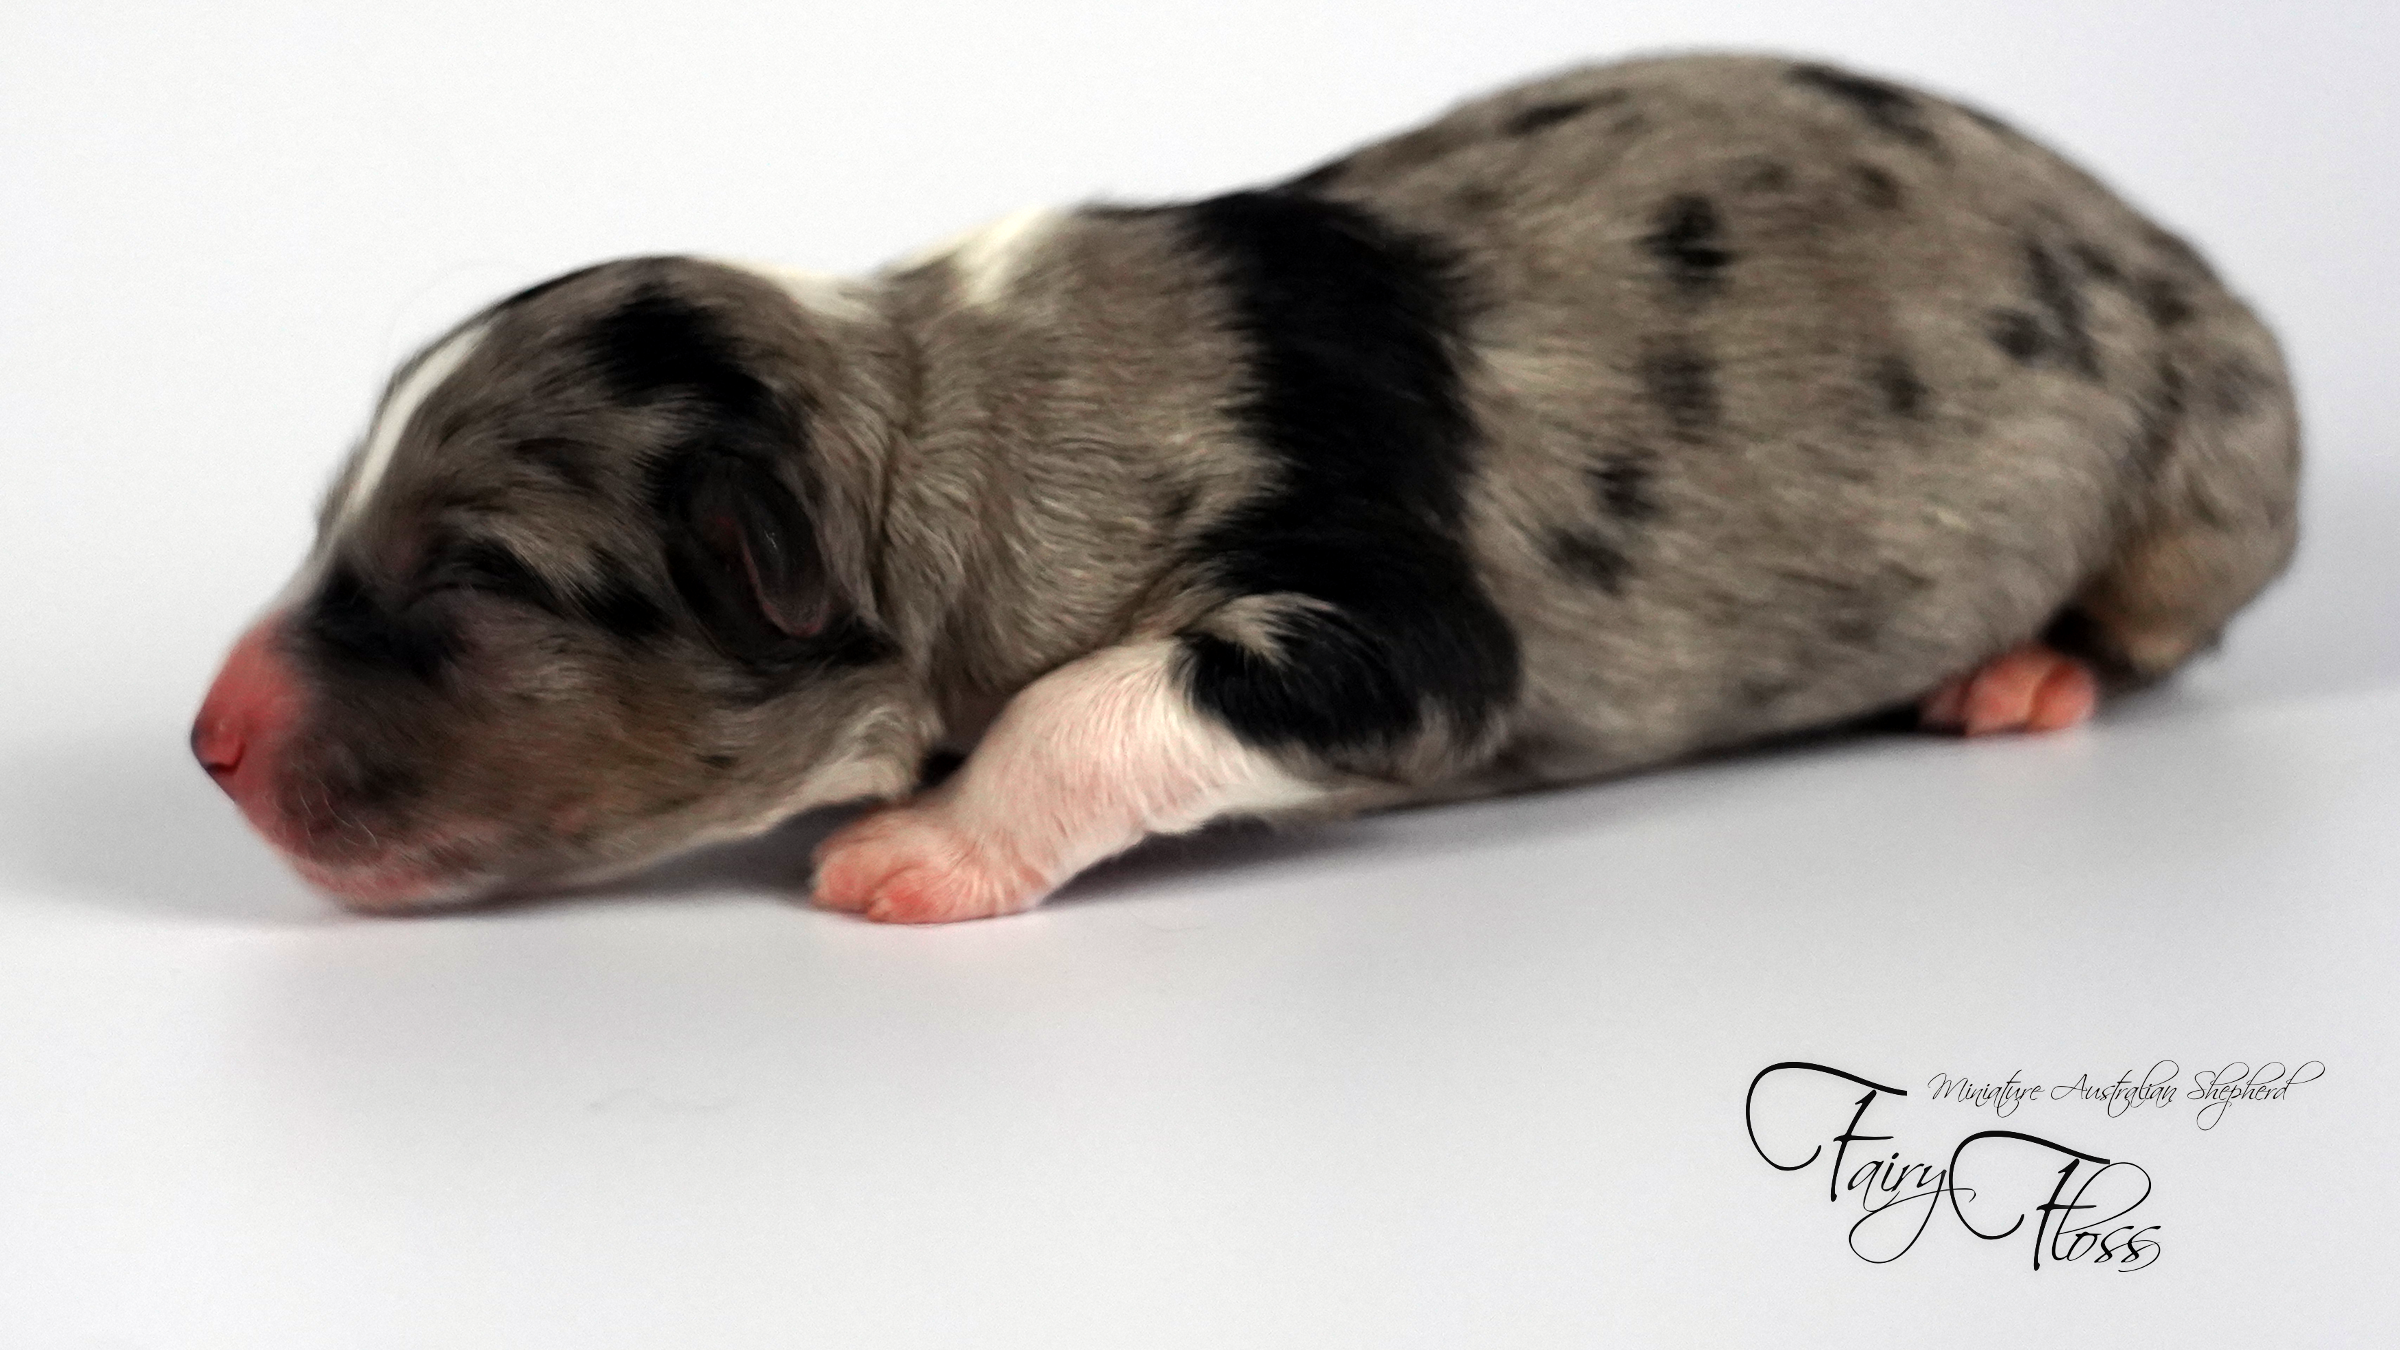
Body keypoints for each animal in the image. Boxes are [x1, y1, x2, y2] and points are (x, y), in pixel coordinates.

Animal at [191, 53, 2299, 922]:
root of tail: (2156, 239)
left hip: (2221, 455)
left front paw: (922, 850)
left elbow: (1091, 698)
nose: (208, 740)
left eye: (475, 582)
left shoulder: (1413, 631)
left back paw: (2025, 671)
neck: (950, 414)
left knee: (2165, 621)